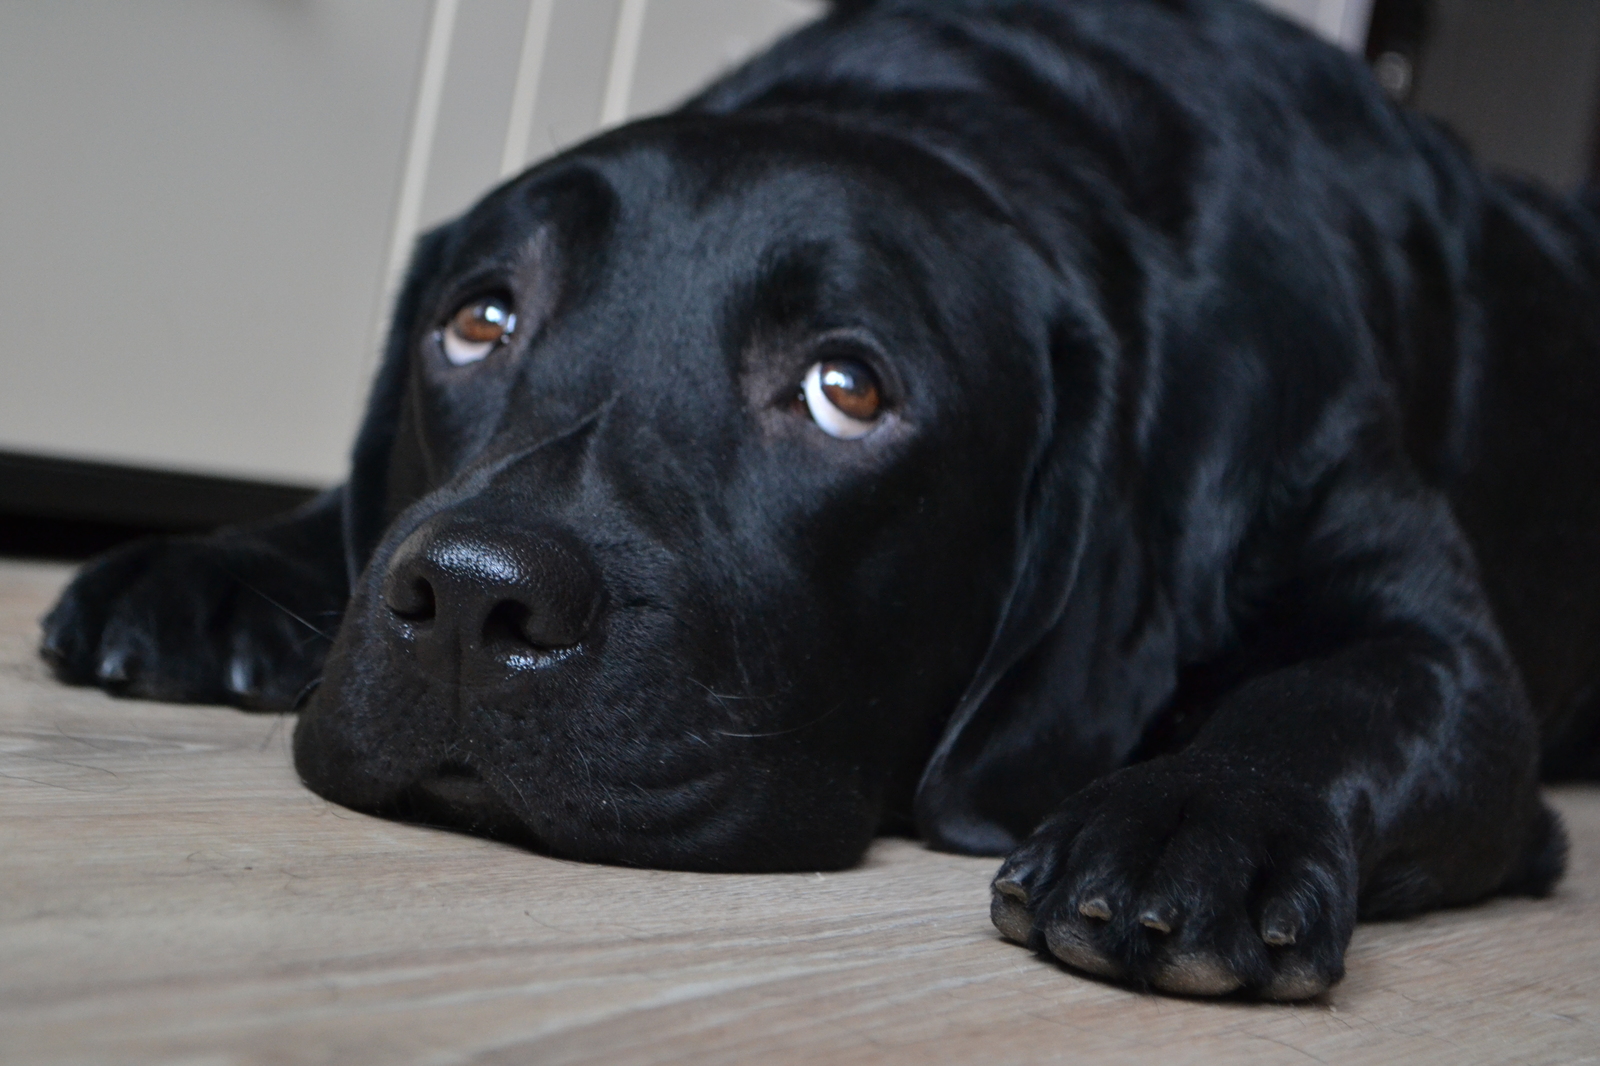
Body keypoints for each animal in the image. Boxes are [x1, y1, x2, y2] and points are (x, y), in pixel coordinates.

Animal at [37, 0, 1600, 998]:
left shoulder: (1430, 640)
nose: (474, 597)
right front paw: (218, 564)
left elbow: (1335, 696)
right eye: (477, 320)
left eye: (847, 390)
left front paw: (1193, 815)